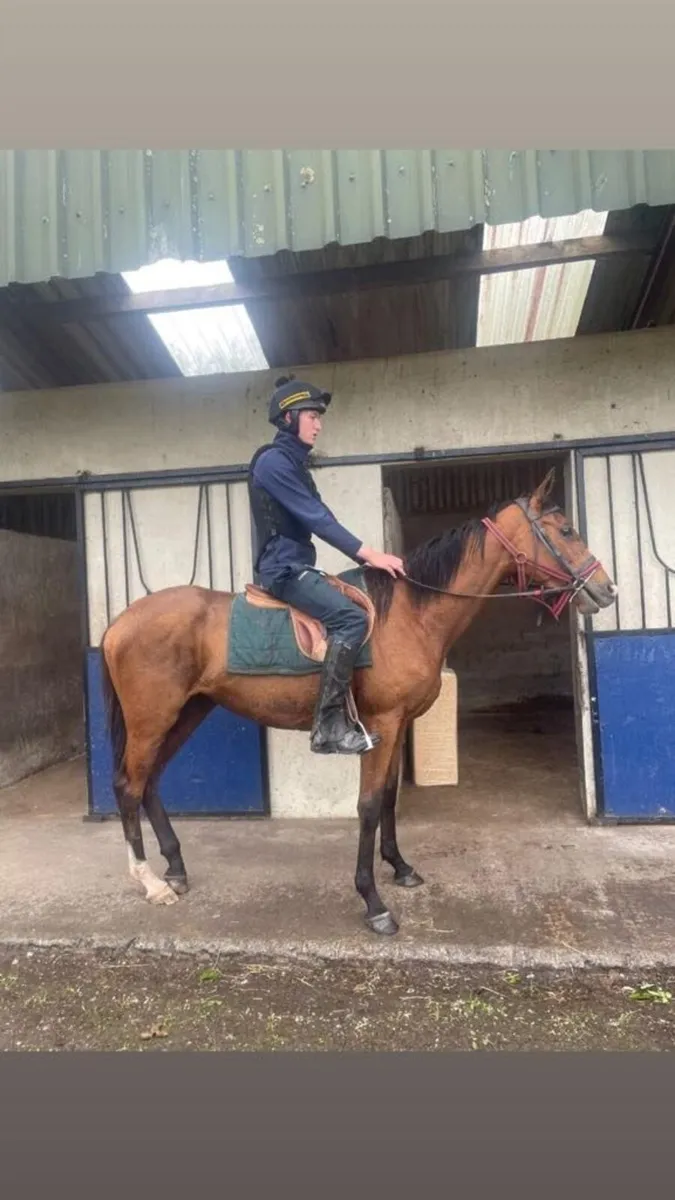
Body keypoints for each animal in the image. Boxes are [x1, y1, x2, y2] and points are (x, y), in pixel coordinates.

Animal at [100, 470, 617, 937]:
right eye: (566, 531)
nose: (607, 589)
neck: (410, 614)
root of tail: (119, 624)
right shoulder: (381, 724)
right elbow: (367, 805)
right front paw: (373, 903)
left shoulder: (398, 724)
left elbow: (388, 797)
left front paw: (400, 867)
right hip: (152, 720)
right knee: (129, 786)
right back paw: (150, 882)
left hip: (187, 713)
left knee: (150, 782)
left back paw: (176, 869)